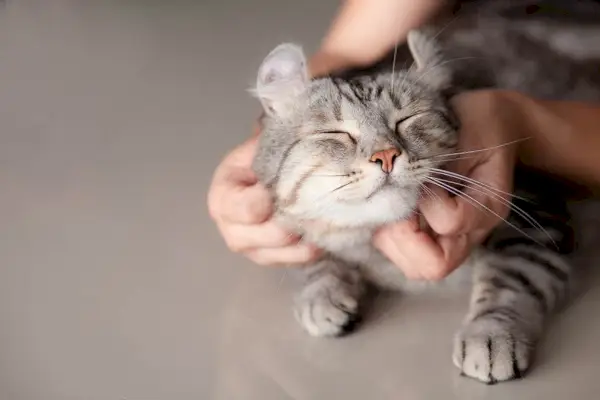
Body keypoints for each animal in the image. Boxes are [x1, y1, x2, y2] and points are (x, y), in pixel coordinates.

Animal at [247, 0, 600, 384]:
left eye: (407, 120)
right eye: (337, 133)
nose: (386, 155)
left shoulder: (538, 215)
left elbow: (510, 281)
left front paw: (490, 335)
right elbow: (312, 257)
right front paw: (323, 293)